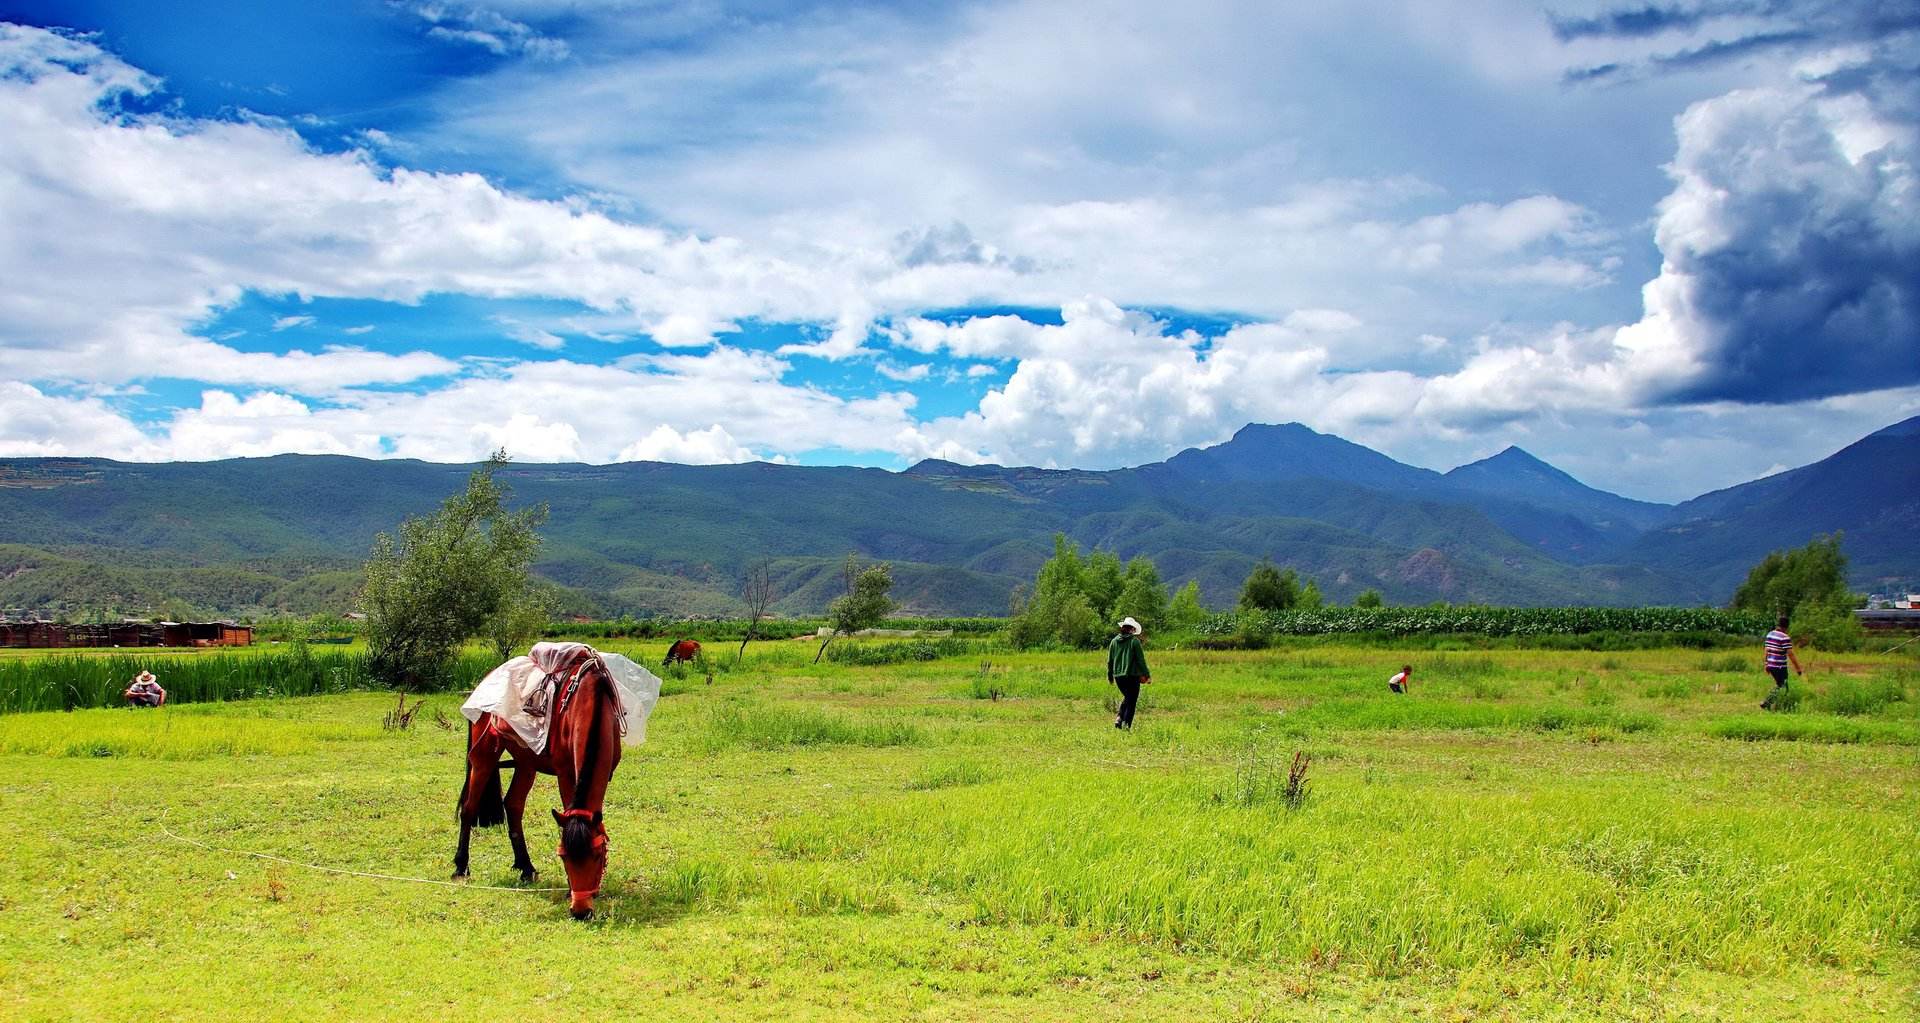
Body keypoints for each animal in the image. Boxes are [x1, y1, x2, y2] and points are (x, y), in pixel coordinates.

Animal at [455, 644, 622, 917]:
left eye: (597, 856)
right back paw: (460, 866)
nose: (580, 911)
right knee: (469, 807)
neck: (590, 702)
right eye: (563, 857)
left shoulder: (605, 774)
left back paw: (526, 867)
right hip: (484, 756)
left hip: (526, 762)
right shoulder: (566, 773)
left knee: (513, 804)